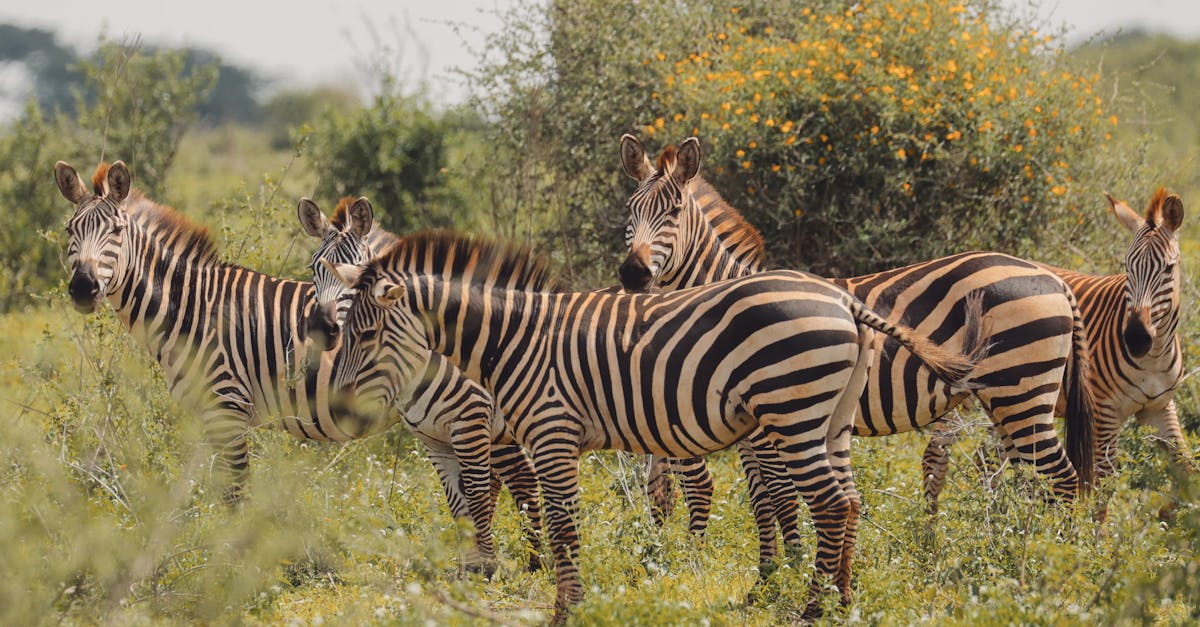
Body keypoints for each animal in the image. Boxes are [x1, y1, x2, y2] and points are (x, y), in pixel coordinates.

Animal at [54, 160, 538, 573]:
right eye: (69, 230)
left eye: (117, 230)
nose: (83, 287)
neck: (193, 308)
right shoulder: (212, 415)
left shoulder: (228, 407)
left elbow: (235, 491)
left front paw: (233, 563)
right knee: (510, 478)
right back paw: (521, 563)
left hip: (467, 409)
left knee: (508, 479)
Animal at [325, 231, 982, 621]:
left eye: (364, 333)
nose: (339, 407)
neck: (518, 339)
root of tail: (844, 300)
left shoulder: (552, 433)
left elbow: (563, 526)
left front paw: (566, 611)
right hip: (832, 419)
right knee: (850, 501)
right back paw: (844, 600)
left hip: (794, 413)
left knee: (828, 504)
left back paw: (813, 609)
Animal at [618, 135, 1095, 529]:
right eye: (629, 210)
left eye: (674, 213)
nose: (633, 273)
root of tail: (1052, 279)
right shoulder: (752, 431)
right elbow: (754, 501)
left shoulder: (768, 425)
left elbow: (773, 499)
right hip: (1007, 399)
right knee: (1030, 478)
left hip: (1023, 392)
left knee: (1062, 479)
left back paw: (1056, 555)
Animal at [922, 189, 1192, 508]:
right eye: (1126, 267)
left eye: (1169, 268)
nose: (1136, 338)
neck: (1153, 356)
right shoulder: (1104, 413)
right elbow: (1102, 489)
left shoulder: (1160, 407)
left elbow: (1187, 468)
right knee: (935, 454)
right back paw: (931, 522)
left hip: (1008, 397)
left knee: (988, 462)